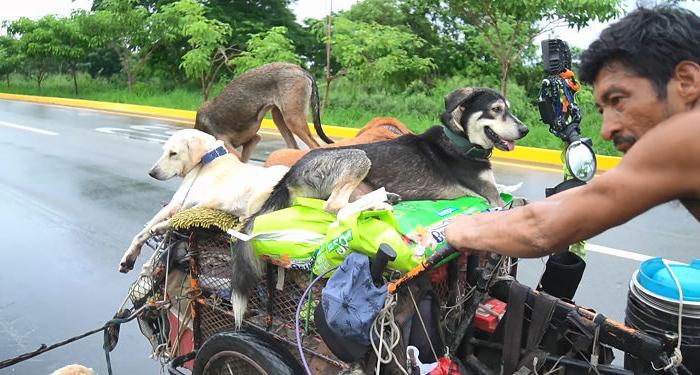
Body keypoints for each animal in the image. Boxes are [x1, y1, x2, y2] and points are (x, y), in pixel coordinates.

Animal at [119, 129, 288, 274]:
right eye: (164, 151)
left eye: (173, 153)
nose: (151, 173)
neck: (208, 159)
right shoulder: (184, 204)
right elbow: (148, 232)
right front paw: (131, 258)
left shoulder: (181, 204)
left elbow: (149, 230)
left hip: (258, 198)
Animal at [193, 61, 332, 162]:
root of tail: (301, 70)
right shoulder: (252, 141)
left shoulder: (231, 150)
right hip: (279, 118)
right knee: (294, 148)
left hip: (293, 121)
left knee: (315, 146)